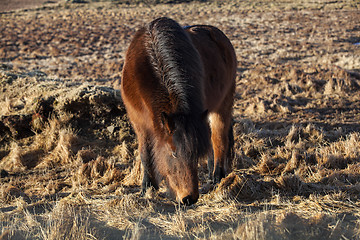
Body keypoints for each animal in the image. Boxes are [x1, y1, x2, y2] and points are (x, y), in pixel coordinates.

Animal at [120, 16, 236, 205]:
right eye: (173, 153)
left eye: (195, 155)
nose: (189, 198)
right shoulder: (140, 123)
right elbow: (145, 154)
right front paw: (147, 188)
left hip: (222, 107)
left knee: (219, 140)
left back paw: (217, 178)